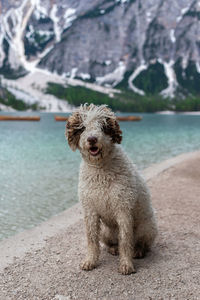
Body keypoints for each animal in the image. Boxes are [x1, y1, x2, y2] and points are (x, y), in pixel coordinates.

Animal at [66, 104, 157, 276]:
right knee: (112, 243)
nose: (92, 139)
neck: (100, 170)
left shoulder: (123, 209)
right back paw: (113, 248)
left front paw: (126, 264)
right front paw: (90, 261)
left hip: (147, 228)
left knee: (142, 244)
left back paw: (138, 251)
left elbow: (126, 240)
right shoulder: (90, 211)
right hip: (105, 232)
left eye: (103, 126)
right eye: (83, 127)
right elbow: (91, 240)